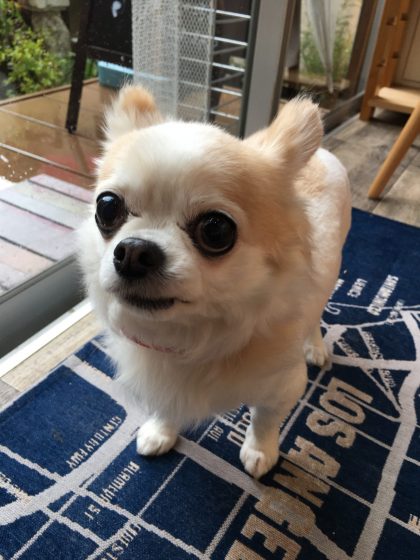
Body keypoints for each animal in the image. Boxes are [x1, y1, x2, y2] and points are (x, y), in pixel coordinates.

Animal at [79, 85, 351, 479]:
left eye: (216, 229)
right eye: (107, 207)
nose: (133, 252)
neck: (189, 338)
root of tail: (324, 154)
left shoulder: (285, 386)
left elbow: (265, 419)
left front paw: (260, 452)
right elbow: (166, 406)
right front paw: (161, 431)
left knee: (315, 315)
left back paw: (314, 347)